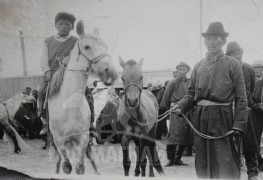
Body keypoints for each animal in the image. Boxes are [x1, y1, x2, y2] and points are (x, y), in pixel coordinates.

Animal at [48, 20, 118, 174]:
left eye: (105, 46)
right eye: (87, 47)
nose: (112, 73)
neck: (69, 107)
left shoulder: (84, 139)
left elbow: (80, 167)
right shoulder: (59, 141)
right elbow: (66, 166)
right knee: (58, 162)